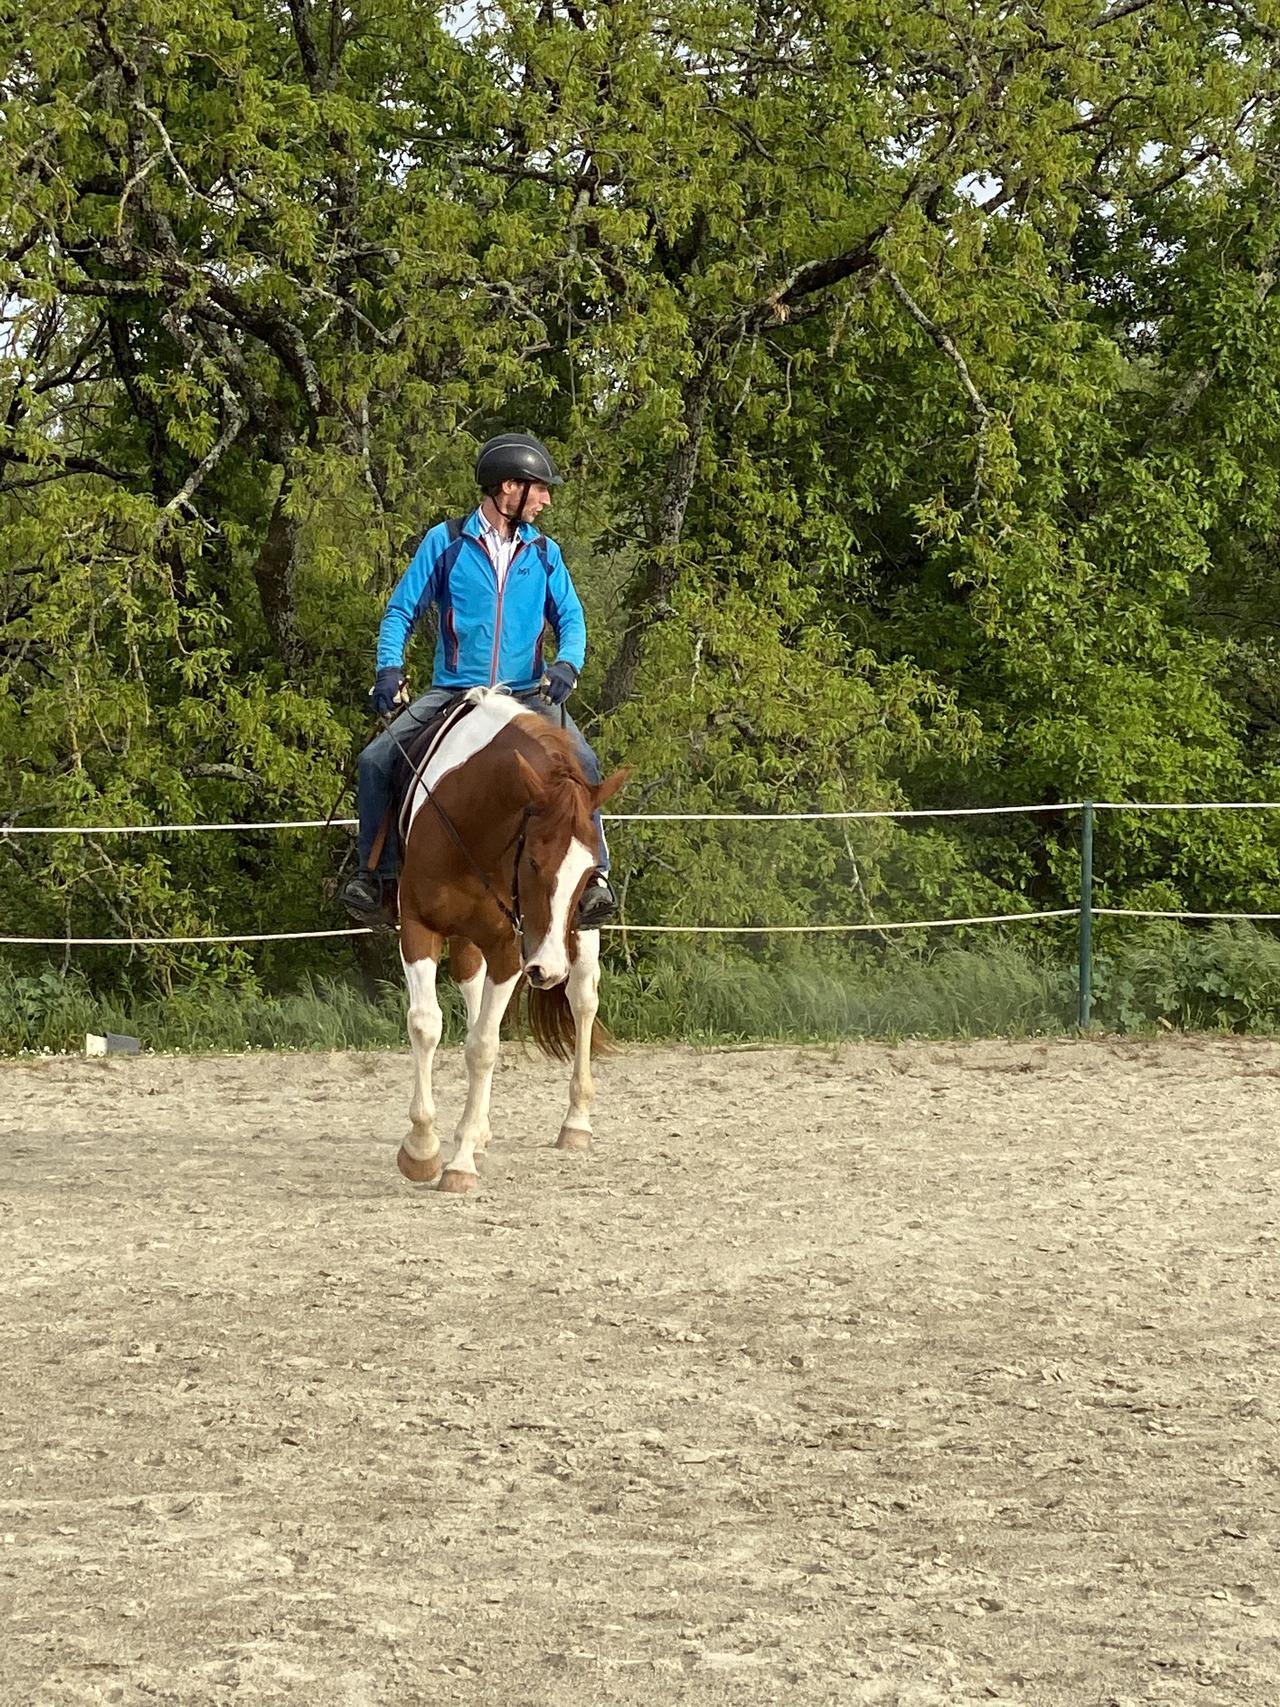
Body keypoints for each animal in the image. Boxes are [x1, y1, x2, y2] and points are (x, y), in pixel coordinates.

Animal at [394, 686, 628, 1194]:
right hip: (471, 942)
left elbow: (483, 1046)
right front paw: (422, 1148)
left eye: (587, 871)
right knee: (471, 996)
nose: (547, 969)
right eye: (535, 861)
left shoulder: (507, 950)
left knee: (583, 1001)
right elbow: (426, 1025)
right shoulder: (418, 926)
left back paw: (575, 1123)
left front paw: (459, 1162)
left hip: (579, 942)